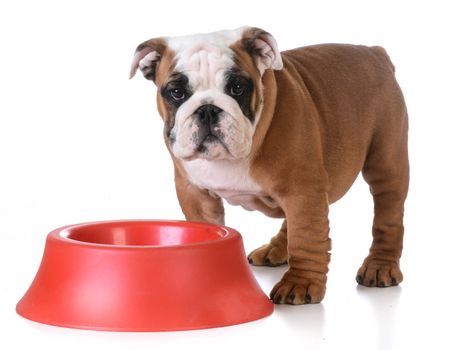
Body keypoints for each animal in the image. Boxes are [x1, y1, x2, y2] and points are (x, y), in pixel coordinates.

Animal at [130, 27, 410, 304]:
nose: (208, 109)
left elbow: (306, 237)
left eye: (237, 87)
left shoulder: (303, 190)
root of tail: (374, 51)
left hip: (386, 163)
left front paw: (301, 283)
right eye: (176, 92)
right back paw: (275, 250)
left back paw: (380, 266)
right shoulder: (195, 193)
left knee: (387, 216)